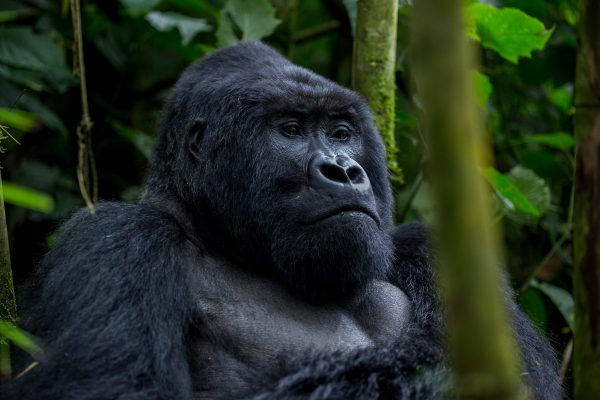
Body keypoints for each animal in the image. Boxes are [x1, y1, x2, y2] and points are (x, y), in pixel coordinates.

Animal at [7, 41, 564, 400]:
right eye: (291, 129)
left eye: (341, 133)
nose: (344, 170)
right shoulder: (114, 240)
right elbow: (117, 388)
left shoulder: (424, 247)